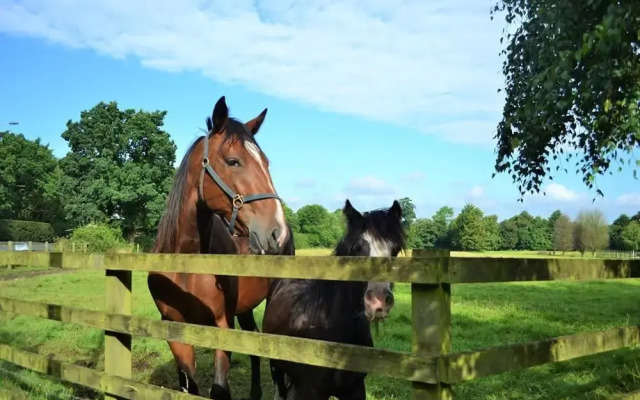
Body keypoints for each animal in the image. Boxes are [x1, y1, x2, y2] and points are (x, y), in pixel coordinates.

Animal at [148, 97, 296, 400]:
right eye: (233, 161)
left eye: (266, 162)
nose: (277, 231)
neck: (185, 264)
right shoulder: (174, 328)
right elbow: (189, 386)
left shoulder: (222, 325)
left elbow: (219, 390)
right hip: (245, 308)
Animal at [262, 199, 408, 400]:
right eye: (357, 248)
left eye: (395, 250)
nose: (378, 302)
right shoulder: (309, 391)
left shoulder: (355, 390)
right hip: (275, 367)